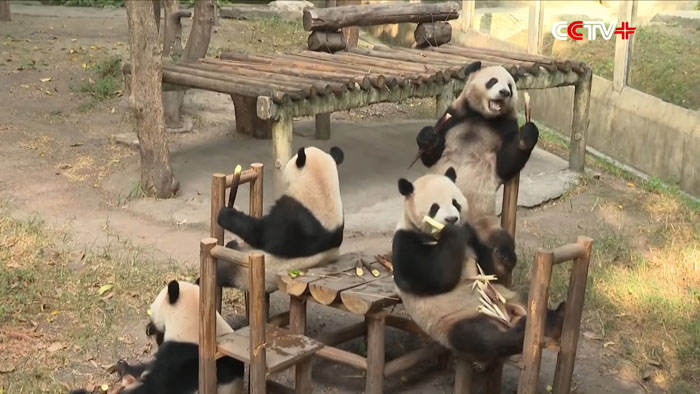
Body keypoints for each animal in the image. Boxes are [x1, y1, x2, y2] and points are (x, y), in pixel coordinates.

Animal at [215, 145, 344, 292]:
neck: (322, 189)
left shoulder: (293, 218)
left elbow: (263, 235)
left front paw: (226, 214)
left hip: (243, 270)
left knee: (224, 268)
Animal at [392, 171, 568, 362]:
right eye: (435, 207)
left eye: (455, 202)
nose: (452, 219)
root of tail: (507, 316)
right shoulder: (405, 240)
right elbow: (430, 278)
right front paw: (452, 232)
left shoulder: (471, 235)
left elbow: (489, 269)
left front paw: (504, 256)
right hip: (457, 319)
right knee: (480, 337)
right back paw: (519, 331)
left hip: (505, 295)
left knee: (528, 301)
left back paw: (556, 317)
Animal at [416, 61, 540, 278]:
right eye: (493, 81)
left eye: (510, 85)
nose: (504, 92)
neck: (483, 117)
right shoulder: (453, 117)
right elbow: (432, 154)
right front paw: (427, 136)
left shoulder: (506, 128)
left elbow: (506, 164)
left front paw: (528, 134)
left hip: (485, 223)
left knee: (500, 241)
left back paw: (501, 259)